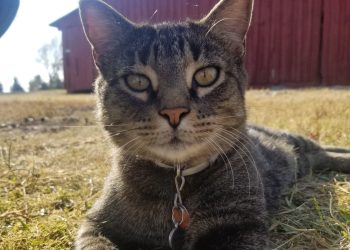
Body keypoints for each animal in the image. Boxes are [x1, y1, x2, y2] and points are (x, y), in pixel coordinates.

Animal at [76, 0, 350, 250]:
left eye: (206, 76)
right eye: (137, 81)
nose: (174, 112)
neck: (177, 187)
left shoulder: (240, 226)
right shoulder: (95, 223)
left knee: (322, 148)